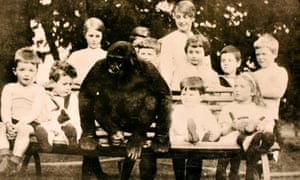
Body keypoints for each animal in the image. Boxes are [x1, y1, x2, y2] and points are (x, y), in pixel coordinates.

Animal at [78, 41, 171, 180]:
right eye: (111, 59)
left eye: (119, 60)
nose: (113, 67)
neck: (128, 71)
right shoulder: (98, 66)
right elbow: (87, 93)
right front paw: (88, 137)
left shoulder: (150, 68)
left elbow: (163, 95)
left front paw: (161, 141)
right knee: (97, 102)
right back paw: (115, 134)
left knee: (151, 99)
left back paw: (137, 139)